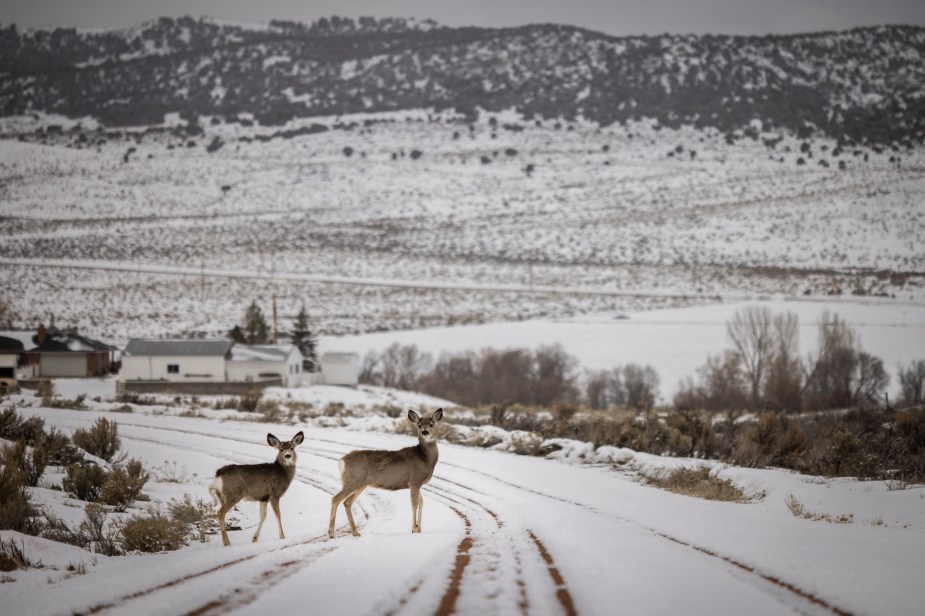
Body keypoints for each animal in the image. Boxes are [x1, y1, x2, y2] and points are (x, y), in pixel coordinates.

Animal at [328, 410, 444, 540]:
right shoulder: (414, 481)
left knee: (347, 502)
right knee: (335, 499)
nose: (425, 432)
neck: (425, 459)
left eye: (431, 424)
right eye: (419, 425)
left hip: (361, 484)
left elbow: (422, 502)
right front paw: (414, 529)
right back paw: (331, 533)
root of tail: (341, 462)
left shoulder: (416, 484)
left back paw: (355, 532)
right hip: (353, 481)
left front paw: (419, 528)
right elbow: (415, 504)